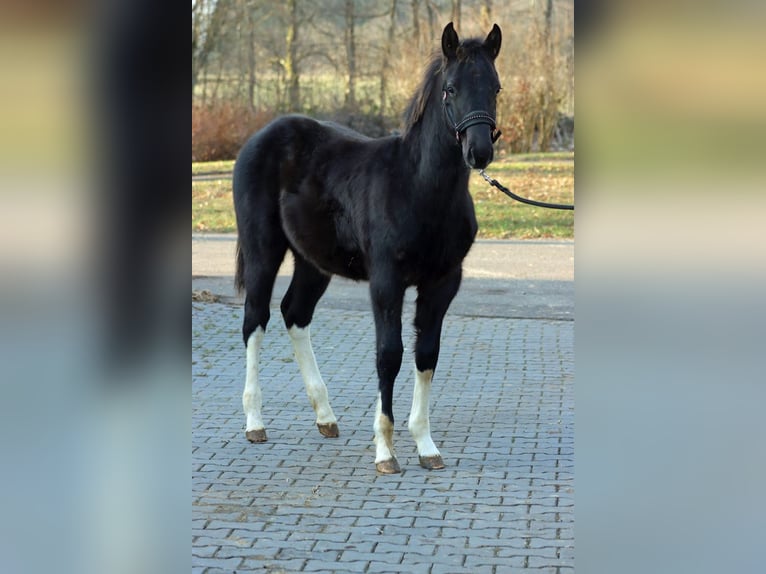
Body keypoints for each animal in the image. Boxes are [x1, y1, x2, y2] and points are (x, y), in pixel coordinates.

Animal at [232, 22, 502, 474]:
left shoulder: (443, 282)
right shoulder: (386, 281)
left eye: (496, 88)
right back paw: (255, 422)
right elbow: (388, 354)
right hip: (262, 249)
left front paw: (426, 445)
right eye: (450, 89)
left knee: (295, 313)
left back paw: (325, 417)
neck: (418, 188)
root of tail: (261, 136)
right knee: (256, 318)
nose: (479, 151)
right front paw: (385, 451)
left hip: (313, 261)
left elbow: (426, 354)